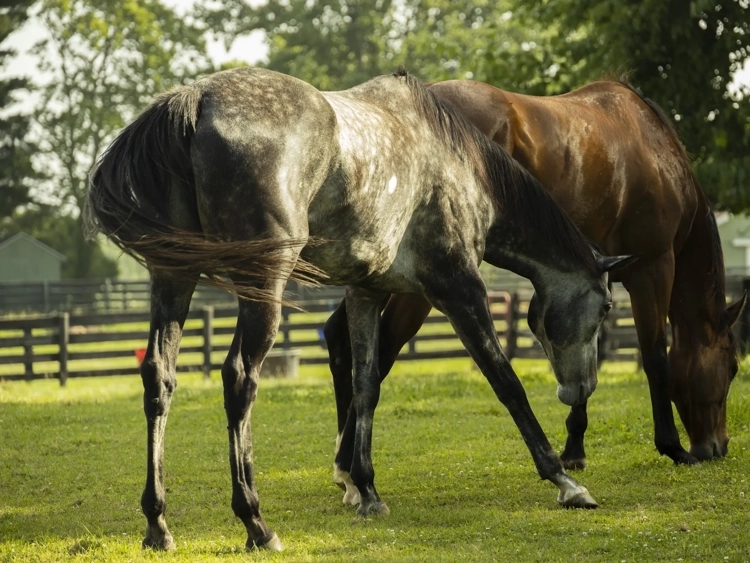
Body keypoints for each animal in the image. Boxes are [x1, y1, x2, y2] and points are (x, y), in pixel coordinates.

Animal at [86, 67, 630, 551]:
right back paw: (256, 524)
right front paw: (564, 480)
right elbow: (506, 382)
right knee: (239, 379)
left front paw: (366, 488)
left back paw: (158, 524)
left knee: (159, 378)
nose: (580, 389)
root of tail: (195, 99)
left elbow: (367, 384)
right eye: (605, 307)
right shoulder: (460, 291)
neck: (458, 166)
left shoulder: (365, 292)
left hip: (173, 280)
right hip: (262, 286)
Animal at [324, 77, 747, 489]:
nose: (717, 446)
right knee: (382, 353)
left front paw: (574, 449)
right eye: (732, 368)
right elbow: (655, 356)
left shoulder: (592, 279)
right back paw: (350, 467)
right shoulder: (652, 269)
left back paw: (346, 467)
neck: (656, 150)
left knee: (342, 337)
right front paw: (673, 447)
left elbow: (584, 360)